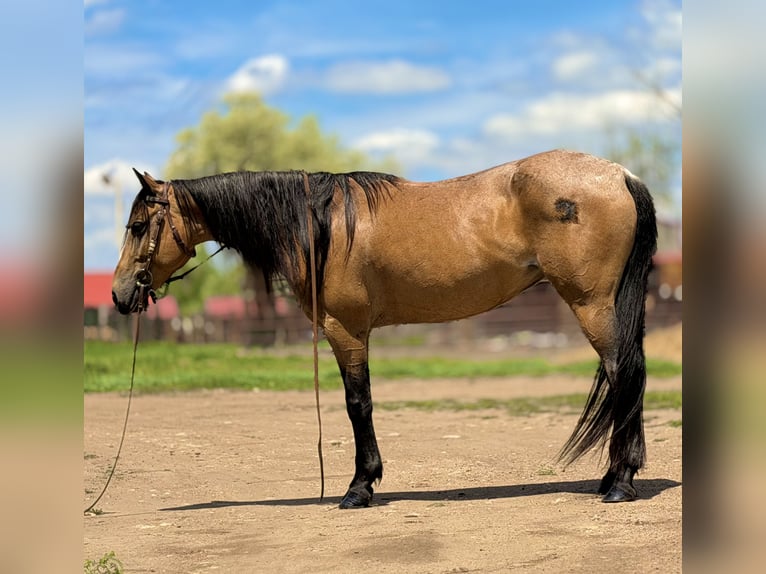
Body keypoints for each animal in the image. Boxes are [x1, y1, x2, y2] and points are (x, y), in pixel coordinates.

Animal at [112, 149, 657, 508]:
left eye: (138, 226)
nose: (120, 295)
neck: (320, 225)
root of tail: (619, 174)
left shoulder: (346, 330)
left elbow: (358, 404)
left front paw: (359, 488)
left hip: (591, 304)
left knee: (624, 375)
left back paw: (619, 483)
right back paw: (615, 476)